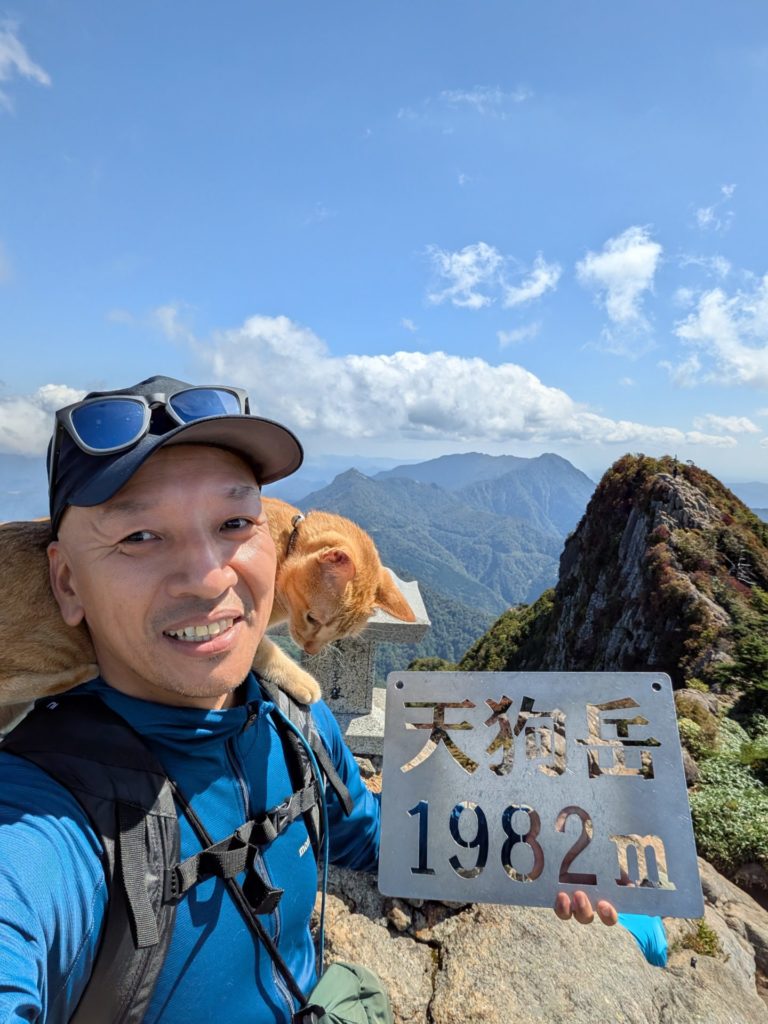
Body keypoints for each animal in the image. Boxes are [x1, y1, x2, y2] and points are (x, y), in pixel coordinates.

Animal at [0, 498, 415, 729]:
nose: (312, 649)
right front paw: (302, 679)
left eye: (337, 634)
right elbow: (266, 652)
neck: (284, 542)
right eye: (314, 619)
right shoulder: (242, 622)